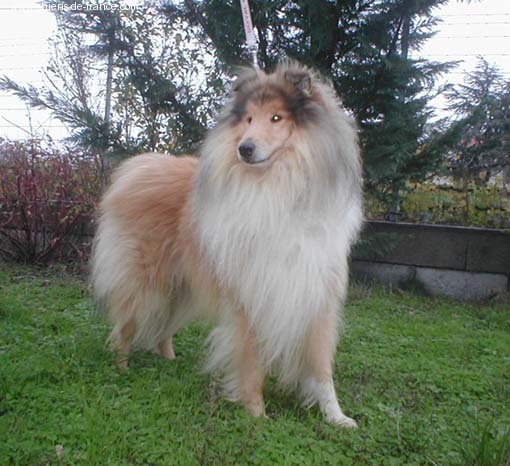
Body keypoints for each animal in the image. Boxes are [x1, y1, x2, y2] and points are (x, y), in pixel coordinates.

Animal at [91, 62, 363, 427]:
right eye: (248, 119)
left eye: (276, 118)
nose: (244, 149)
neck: (277, 187)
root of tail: (138, 167)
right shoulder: (250, 296)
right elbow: (252, 361)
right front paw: (256, 414)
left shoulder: (316, 296)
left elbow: (322, 369)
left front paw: (336, 417)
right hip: (146, 282)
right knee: (125, 324)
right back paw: (121, 368)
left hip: (181, 287)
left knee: (162, 326)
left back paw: (169, 359)